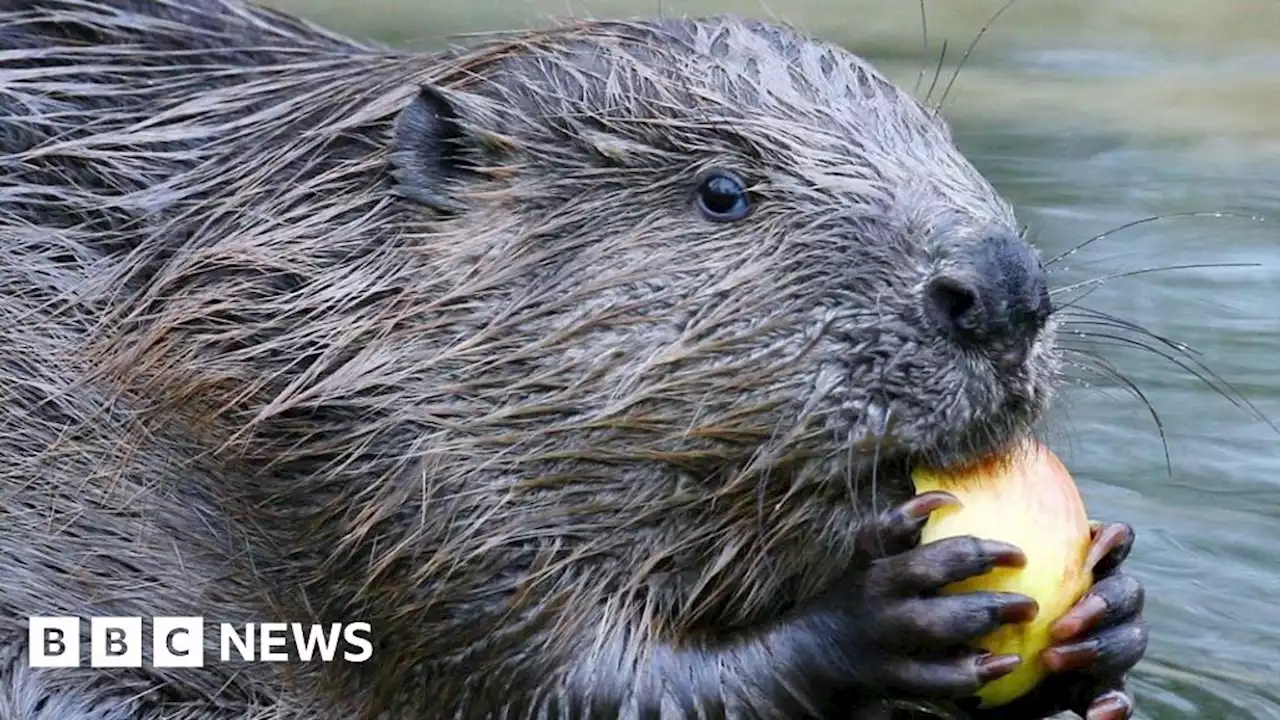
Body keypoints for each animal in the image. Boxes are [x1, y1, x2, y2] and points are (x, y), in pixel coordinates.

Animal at [0, 1, 1152, 717]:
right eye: (722, 190)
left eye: (942, 141)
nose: (1000, 290)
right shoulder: (381, 487)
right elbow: (584, 684)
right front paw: (887, 615)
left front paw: (1106, 617)